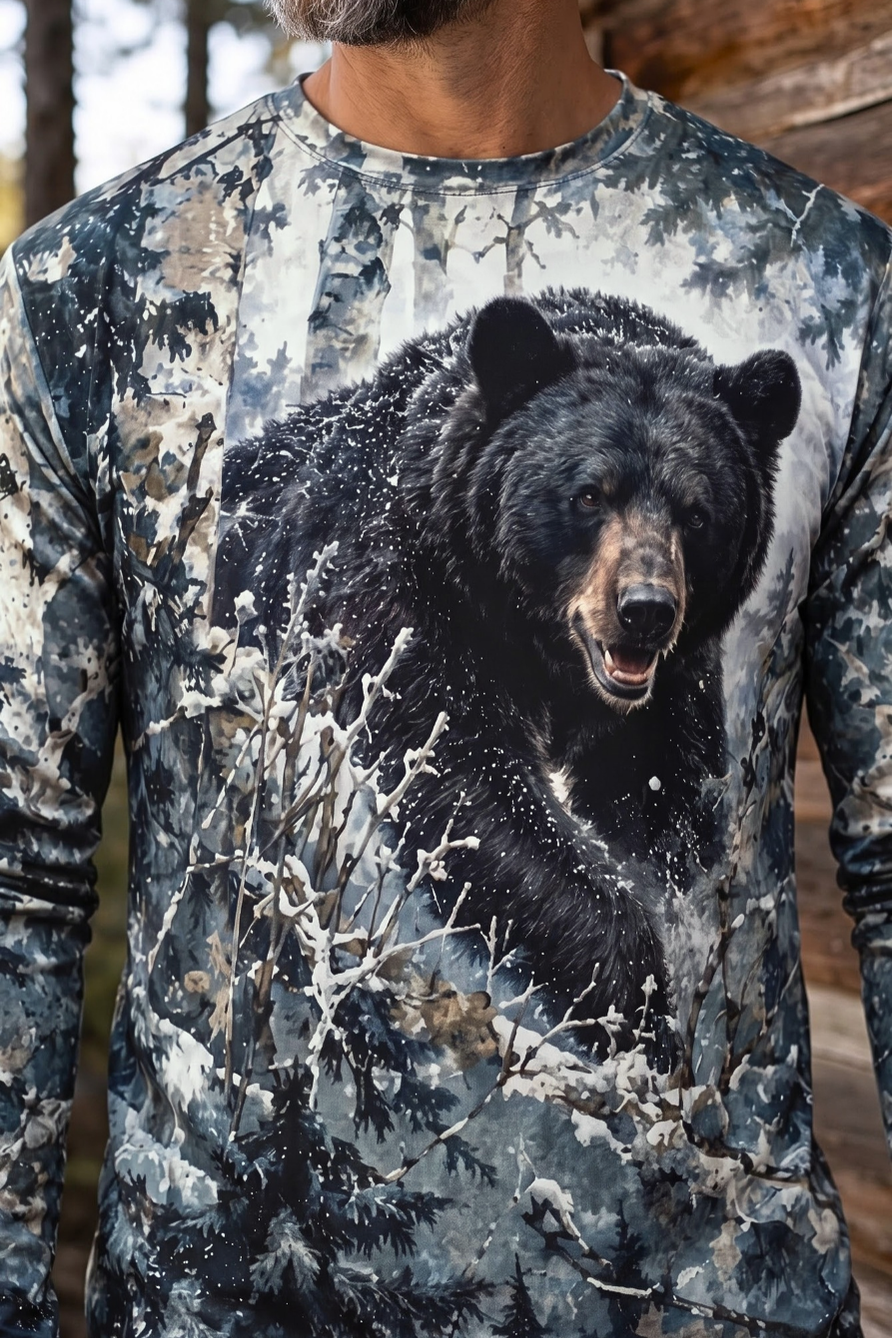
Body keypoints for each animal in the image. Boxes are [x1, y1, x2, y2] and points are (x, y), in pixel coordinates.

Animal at [217, 287, 801, 1063]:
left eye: (697, 511)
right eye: (590, 494)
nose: (646, 611)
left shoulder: (663, 699)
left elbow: (661, 811)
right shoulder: (406, 606)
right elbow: (469, 787)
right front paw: (640, 1011)